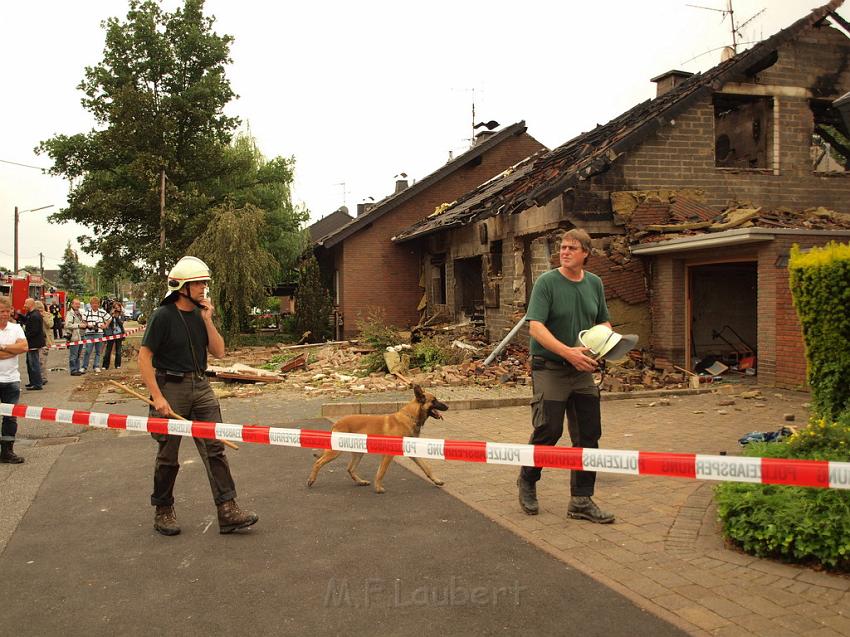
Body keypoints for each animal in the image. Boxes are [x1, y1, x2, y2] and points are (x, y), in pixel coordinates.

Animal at [306, 382, 450, 492]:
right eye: (434, 400)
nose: (447, 406)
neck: (410, 417)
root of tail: (337, 422)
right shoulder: (388, 455)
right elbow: (382, 472)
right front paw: (379, 488)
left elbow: (426, 467)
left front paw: (437, 481)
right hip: (336, 451)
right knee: (318, 463)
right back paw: (311, 480)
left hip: (358, 453)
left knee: (350, 469)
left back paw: (361, 482)